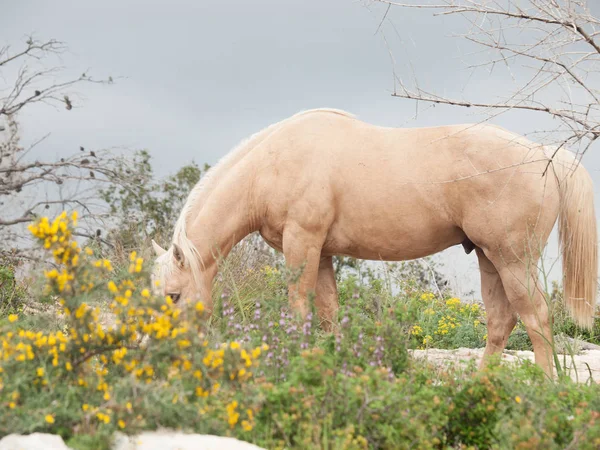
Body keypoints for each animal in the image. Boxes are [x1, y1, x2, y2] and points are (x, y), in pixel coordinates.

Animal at [151, 108, 596, 376]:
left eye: (173, 296)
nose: (163, 353)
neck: (272, 165)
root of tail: (545, 155)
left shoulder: (302, 245)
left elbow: (299, 310)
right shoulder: (322, 254)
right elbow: (328, 316)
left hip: (513, 260)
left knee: (536, 318)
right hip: (490, 258)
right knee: (501, 322)